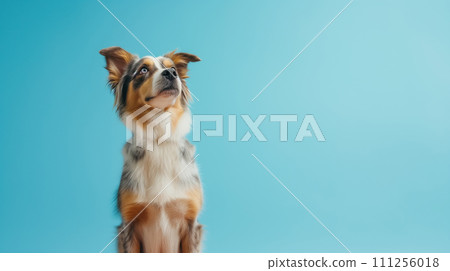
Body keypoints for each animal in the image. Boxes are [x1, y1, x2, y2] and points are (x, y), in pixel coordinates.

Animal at [101, 46, 203, 253]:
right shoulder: (129, 225)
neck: (158, 137)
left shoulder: (191, 222)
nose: (171, 73)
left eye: (173, 68)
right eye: (143, 70)